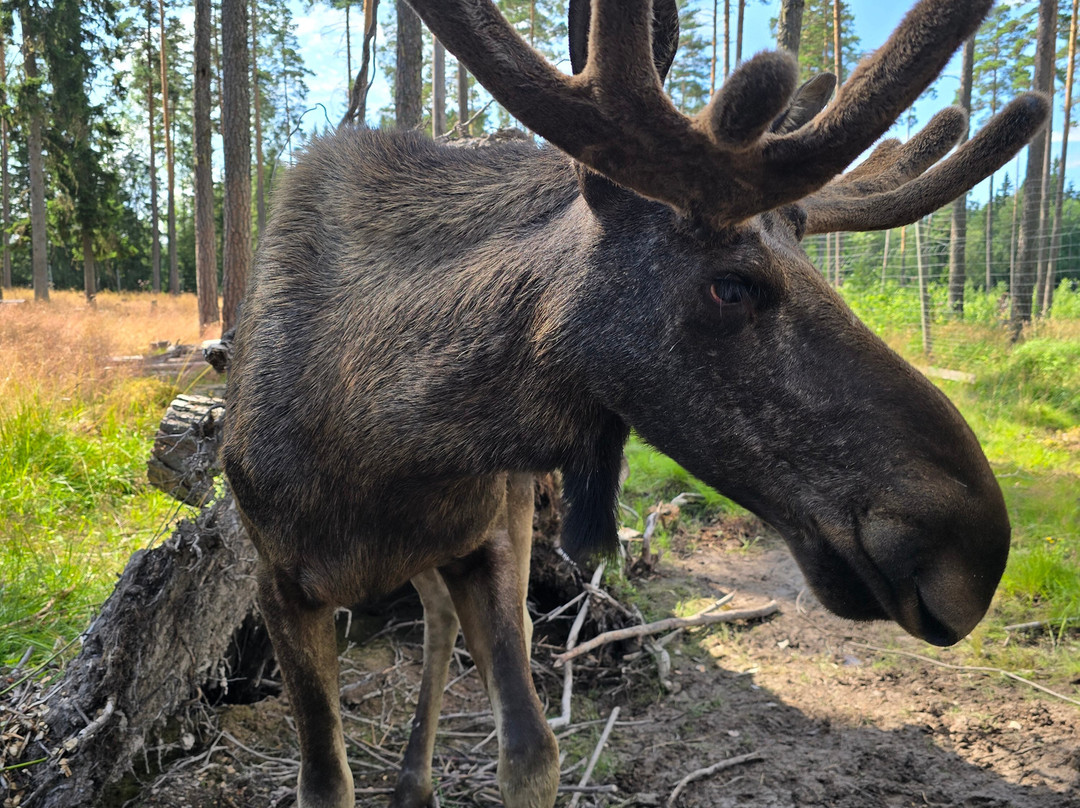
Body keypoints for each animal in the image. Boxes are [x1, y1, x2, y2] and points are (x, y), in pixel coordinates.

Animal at [220, 1, 1048, 806]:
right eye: (731, 285)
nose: (975, 552)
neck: (382, 450)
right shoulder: (276, 582)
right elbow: (325, 780)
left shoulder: (484, 541)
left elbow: (531, 751)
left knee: (443, 618)